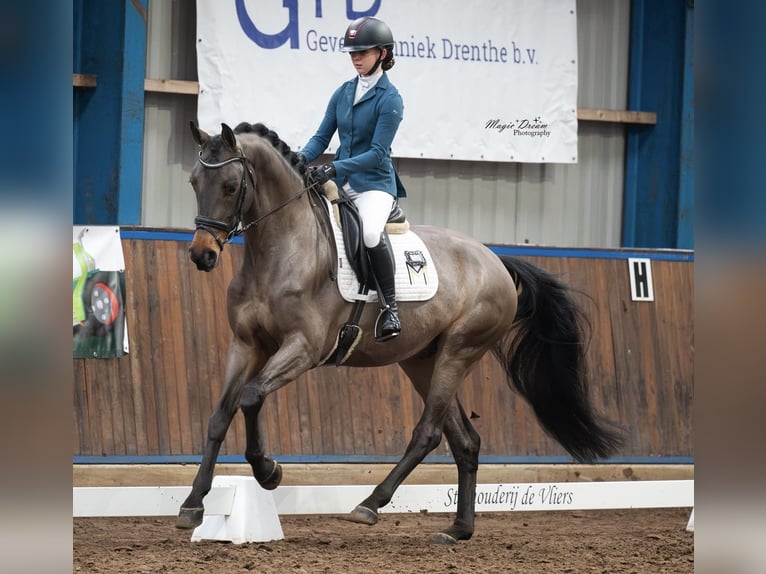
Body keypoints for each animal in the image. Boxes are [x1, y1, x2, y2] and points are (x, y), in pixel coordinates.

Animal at [176, 121, 624, 544]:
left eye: (231, 186)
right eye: (194, 182)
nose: (202, 254)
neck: (282, 249)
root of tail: (494, 258)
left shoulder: (304, 348)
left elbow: (251, 397)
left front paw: (268, 471)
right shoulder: (246, 345)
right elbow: (221, 415)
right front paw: (193, 504)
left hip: (458, 352)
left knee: (428, 433)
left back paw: (369, 504)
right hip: (422, 361)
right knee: (465, 440)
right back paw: (457, 529)